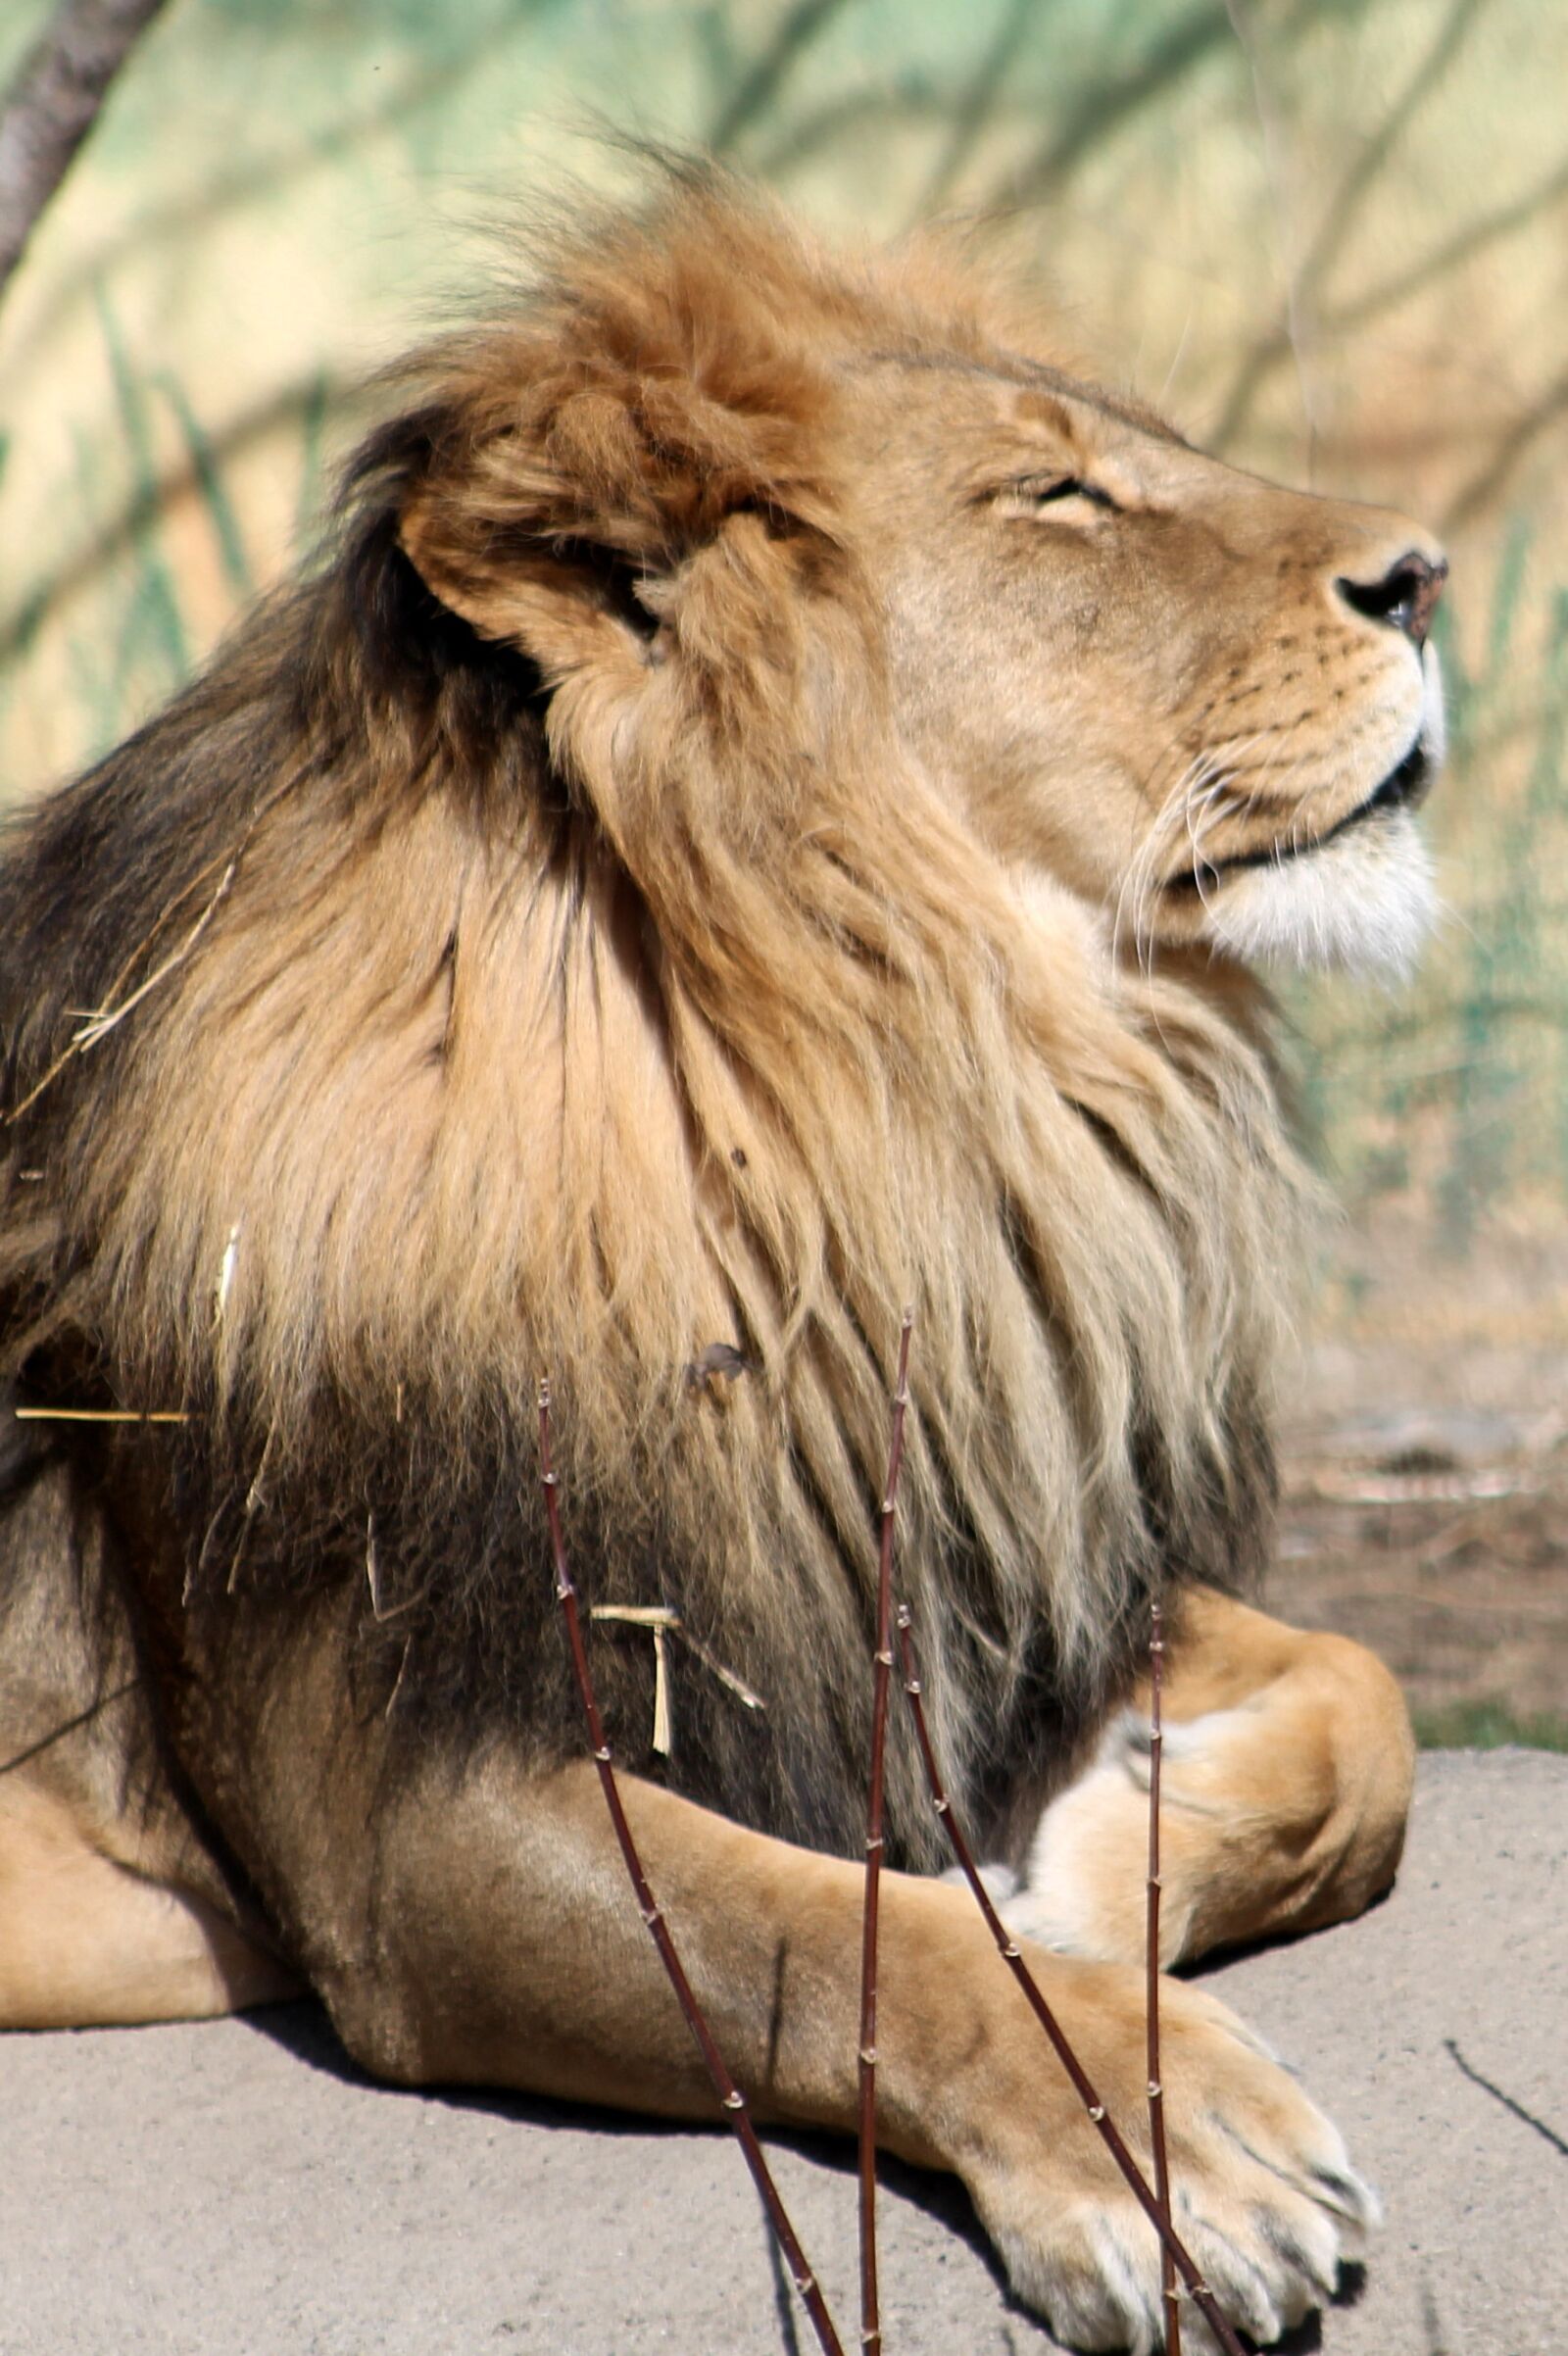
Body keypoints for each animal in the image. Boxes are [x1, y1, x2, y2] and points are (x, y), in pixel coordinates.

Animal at [0, 170, 1439, 2351]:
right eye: (1056, 494)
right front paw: (1163, 2141)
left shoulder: (936, 1567)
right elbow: (843, 1935)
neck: (883, 1108)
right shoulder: (405, 1814)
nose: (1429, 577)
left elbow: (1368, 1701)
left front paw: (1106, 1858)